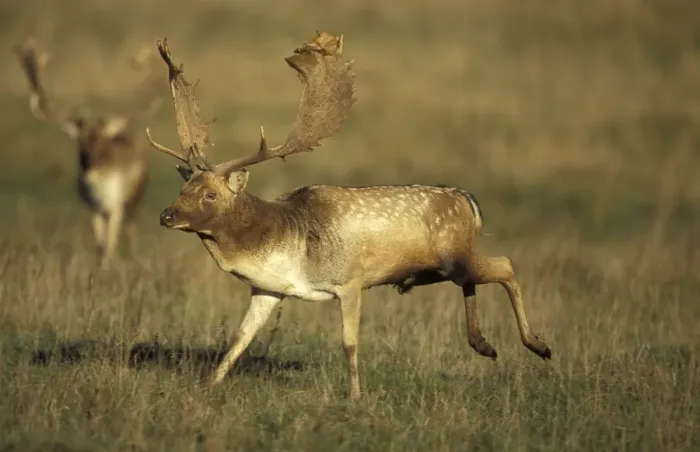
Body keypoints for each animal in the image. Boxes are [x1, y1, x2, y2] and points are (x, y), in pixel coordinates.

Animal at [14, 38, 163, 267]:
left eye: (102, 145)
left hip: (135, 200)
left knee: (130, 229)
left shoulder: (116, 207)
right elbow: (100, 246)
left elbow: (109, 246)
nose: (90, 174)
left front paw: (110, 265)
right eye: (80, 146)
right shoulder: (93, 208)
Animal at [145, 31, 552, 400]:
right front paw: (207, 384)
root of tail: (469, 201)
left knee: (506, 264)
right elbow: (240, 337)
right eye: (184, 188)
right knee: (474, 279)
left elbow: (349, 342)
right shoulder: (268, 288)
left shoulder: (351, 280)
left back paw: (539, 345)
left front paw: (356, 397)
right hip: (444, 266)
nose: (166, 215)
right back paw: (484, 344)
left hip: (455, 255)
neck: (286, 245)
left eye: (211, 194)